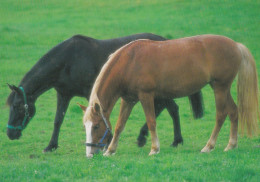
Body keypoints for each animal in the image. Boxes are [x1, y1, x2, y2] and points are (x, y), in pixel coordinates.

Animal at [4, 32, 203, 152]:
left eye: (18, 106)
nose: (10, 134)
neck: (68, 60)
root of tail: (165, 41)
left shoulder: (91, 94)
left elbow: (100, 117)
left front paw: (105, 143)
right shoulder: (63, 94)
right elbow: (58, 120)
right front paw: (51, 146)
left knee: (172, 109)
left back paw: (173, 140)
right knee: (166, 108)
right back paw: (148, 138)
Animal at [82, 34, 258, 158]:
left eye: (96, 126)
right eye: (85, 126)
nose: (90, 154)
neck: (130, 61)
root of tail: (236, 45)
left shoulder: (146, 96)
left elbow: (151, 121)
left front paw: (154, 149)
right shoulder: (128, 100)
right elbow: (119, 125)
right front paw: (111, 150)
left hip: (220, 88)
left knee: (221, 115)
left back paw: (209, 146)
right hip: (220, 87)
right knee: (233, 112)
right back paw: (231, 145)